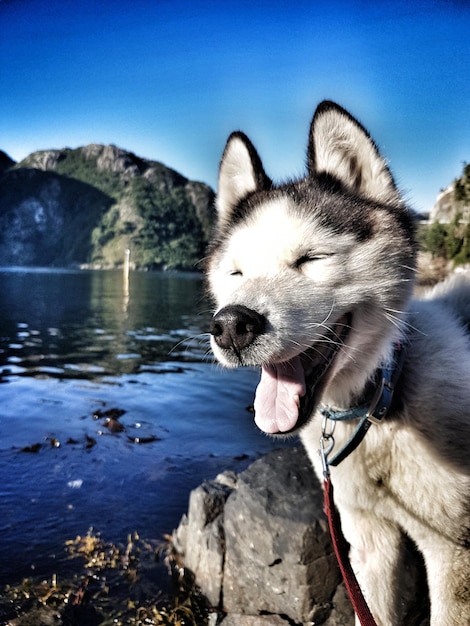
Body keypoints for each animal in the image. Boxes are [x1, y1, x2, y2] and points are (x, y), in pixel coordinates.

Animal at [207, 100, 470, 620]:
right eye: (236, 272)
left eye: (312, 259)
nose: (230, 325)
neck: (378, 404)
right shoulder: (367, 540)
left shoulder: (454, 553)